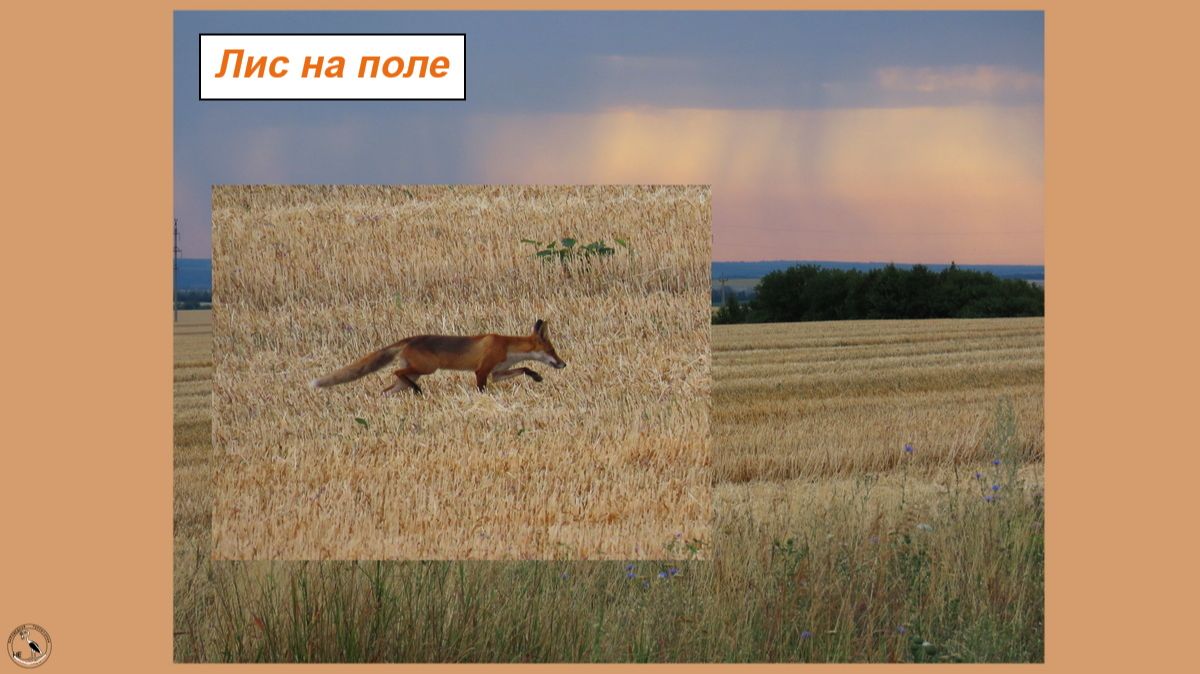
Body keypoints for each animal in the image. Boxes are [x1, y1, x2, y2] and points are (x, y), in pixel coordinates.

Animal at [310, 319, 567, 395]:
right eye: (552, 351)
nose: (563, 363)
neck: (507, 346)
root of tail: (409, 339)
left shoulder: (497, 372)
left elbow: (523, 370)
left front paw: (535, 375)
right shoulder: (482, 370)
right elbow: (482, 389)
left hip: (414, 373)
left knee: (389, 387)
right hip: (427, 368)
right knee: (396, 372)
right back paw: (417, 390)